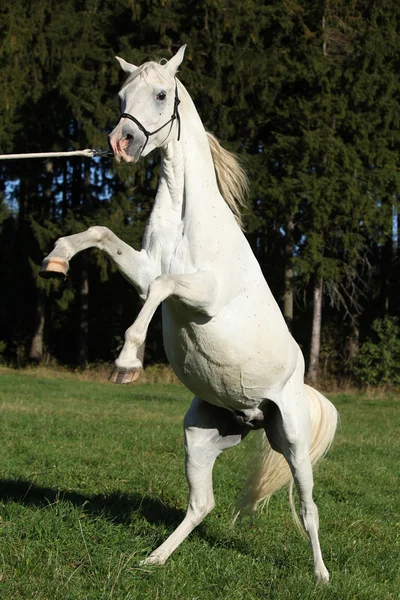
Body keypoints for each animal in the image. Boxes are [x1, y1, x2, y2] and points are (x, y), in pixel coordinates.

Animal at [39, 45, 338, 580]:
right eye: (121, 95)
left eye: (161, 94)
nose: (121, 143)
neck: (187, 220)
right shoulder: (141, 270)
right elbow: (101, 235)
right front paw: (56, 258)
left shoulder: (201, 296)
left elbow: (163, 286)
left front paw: (127, 363)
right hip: (200, 437)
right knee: (202, 504)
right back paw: (152, 559)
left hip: (294, 442)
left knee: (308, 508)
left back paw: (322, 576)